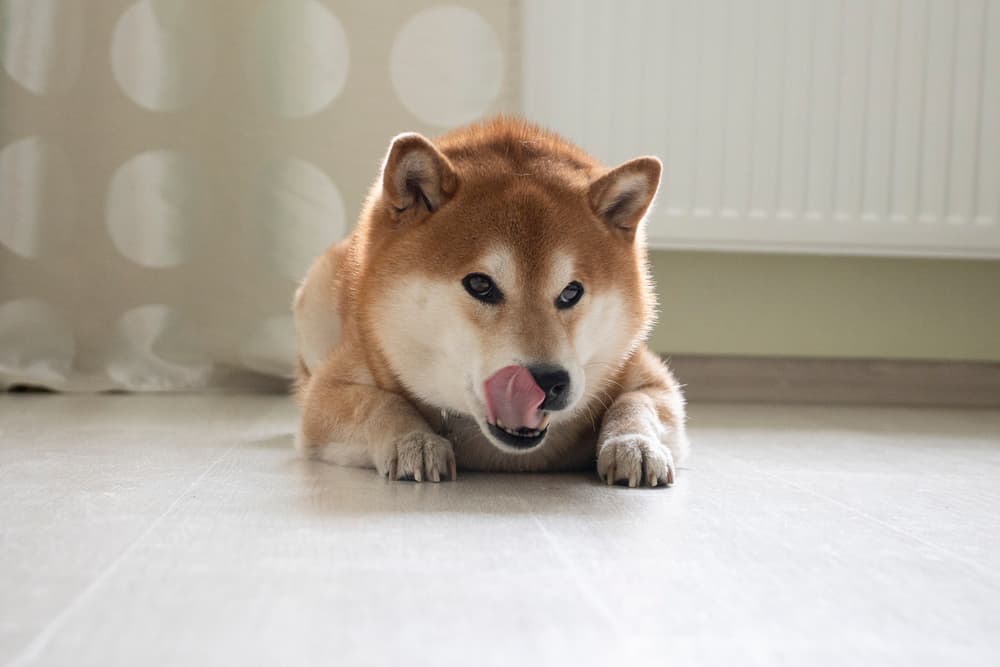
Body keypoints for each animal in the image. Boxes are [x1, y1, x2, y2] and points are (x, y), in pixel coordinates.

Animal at [292, 117, 692, 488]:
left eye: (571, 292)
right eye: (480, 285)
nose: (549, 381)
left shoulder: (647, 375)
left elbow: (637, 402)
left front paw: (634, 444)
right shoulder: (327, 393)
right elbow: (380, 403)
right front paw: (414, 439)